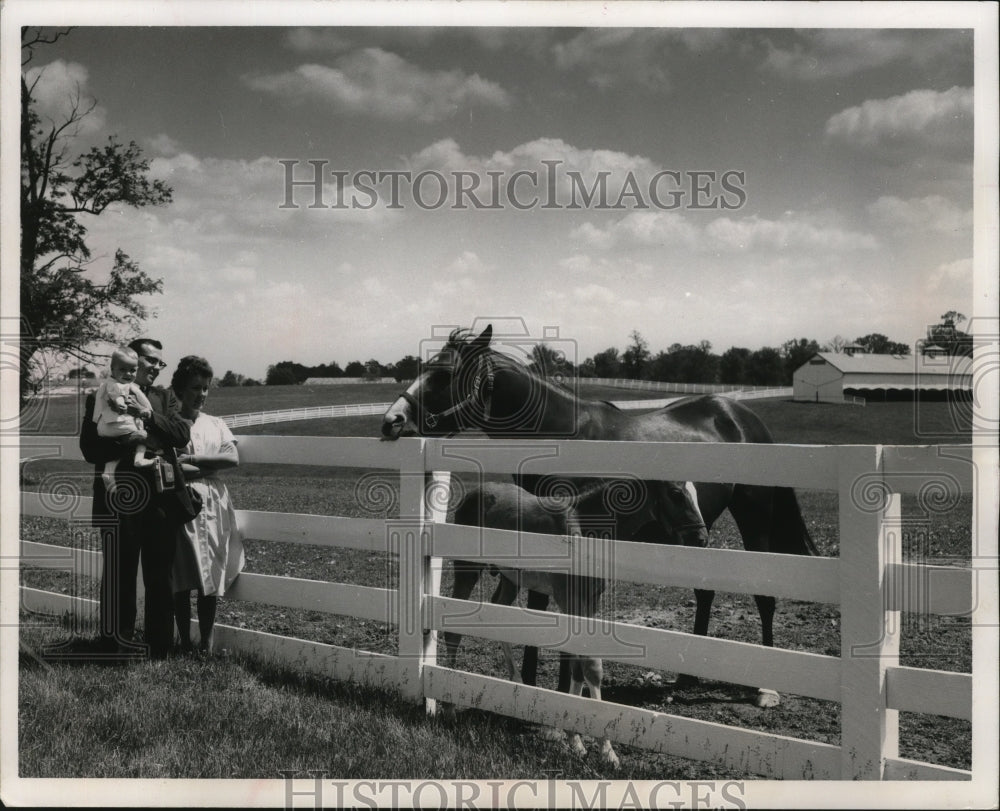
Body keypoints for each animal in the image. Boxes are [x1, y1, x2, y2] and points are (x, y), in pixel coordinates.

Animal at [380, 324, 812, 704]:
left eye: (443, 374)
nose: (391, 421)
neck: (562, 433)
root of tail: (741, 415)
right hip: (698, 533)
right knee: (704, 591)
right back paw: (686, 676)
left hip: (754, 518)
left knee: (764, 595)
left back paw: (766, 689)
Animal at [442, 482, 708, 768]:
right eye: (676, 493)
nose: (702, 539)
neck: (587, 528)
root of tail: (475, 492)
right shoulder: (568, 600)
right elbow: (585, 665)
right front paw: (600, 747)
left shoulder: (590, 603)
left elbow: (583, 667)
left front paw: (580, 740)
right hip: (468, 569)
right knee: (453, 631)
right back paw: (448, 707)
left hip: (510, 578)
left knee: (500, 616)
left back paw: (517, 683)